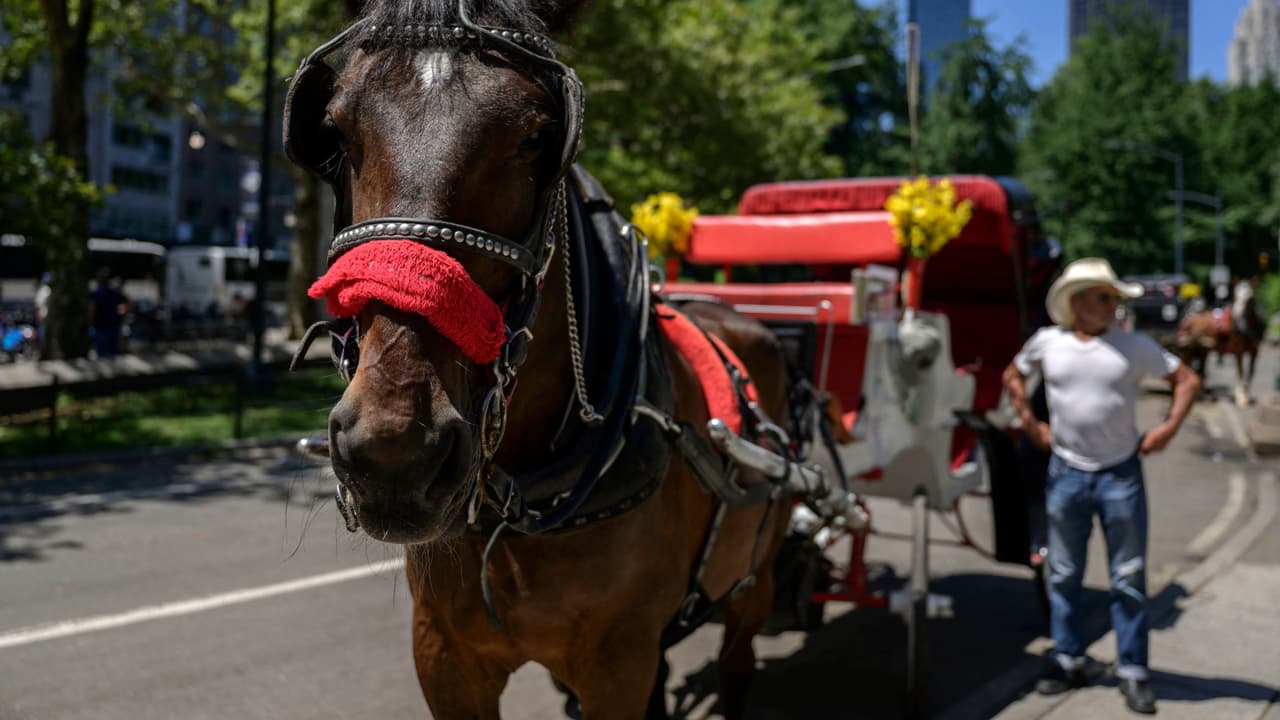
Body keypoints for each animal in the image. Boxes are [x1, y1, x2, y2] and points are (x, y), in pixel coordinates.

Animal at [282, 1, 795, 717]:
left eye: (537, 135)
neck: (518, 507)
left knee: (740, 652)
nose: (394, 451)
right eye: (332, 130)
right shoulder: (442, 655)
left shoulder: (619, 665)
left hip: (757, 579)